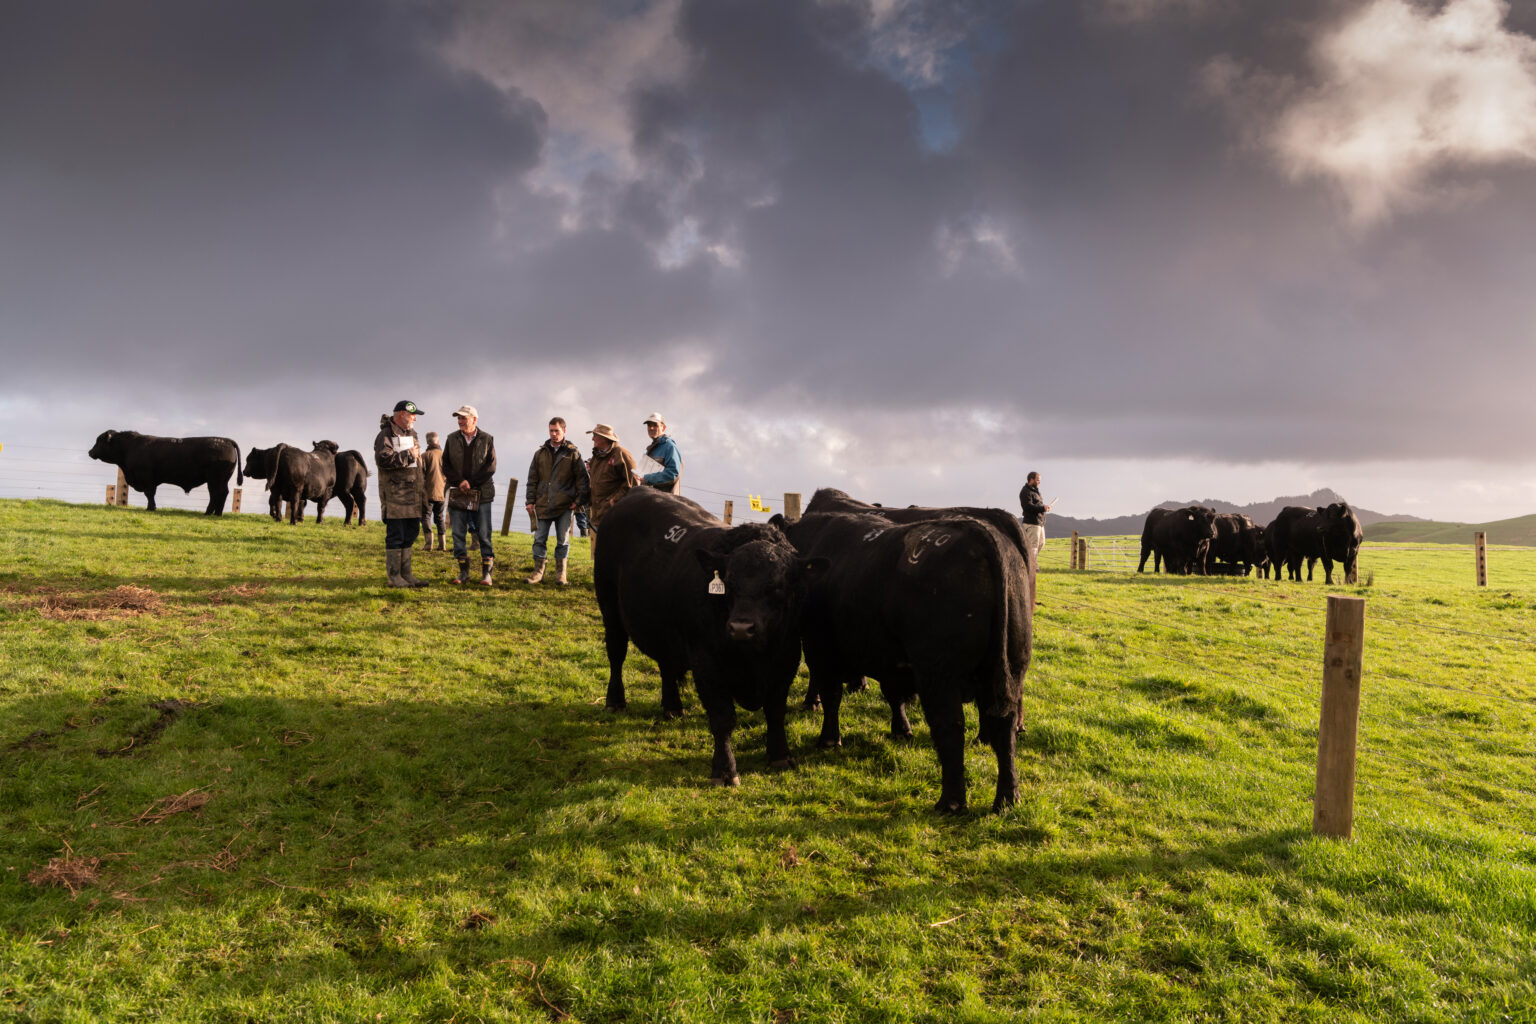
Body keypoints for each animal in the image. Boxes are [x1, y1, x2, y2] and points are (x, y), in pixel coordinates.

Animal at [88, 430, 242, 514]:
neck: (130, 447)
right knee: (222, 493)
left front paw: (151, 508)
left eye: (99, 440)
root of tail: (226, 440)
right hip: (222, 479)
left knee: (216, 494)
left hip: (214, 479)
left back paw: (209, 512)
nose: (90, 452)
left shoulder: (147, 478)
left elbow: (149, 494)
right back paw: (217, 513)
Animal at [594, 487, 823, 787]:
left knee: (666, 665)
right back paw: (615, 701)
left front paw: (781, 755)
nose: (741, 627)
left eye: (777, 586)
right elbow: (723, 718)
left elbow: (775, 710)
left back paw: (673, 707)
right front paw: (725, 770)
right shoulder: (706, 663)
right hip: (610, 608)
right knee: (616, 654)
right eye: (730, 583)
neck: (753, 659)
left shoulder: (787, 657)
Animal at [781, 509, 1033, 814]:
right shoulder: (892, 660)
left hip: (938, 673)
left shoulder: (819, 647)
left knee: (950, 725)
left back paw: (950, 802)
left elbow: (831, 696)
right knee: (1004, 724)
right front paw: (901, 730)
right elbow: (894, 695)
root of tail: (979, 531)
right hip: (1011, 667)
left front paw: (829, 739)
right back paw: (1008, 799)